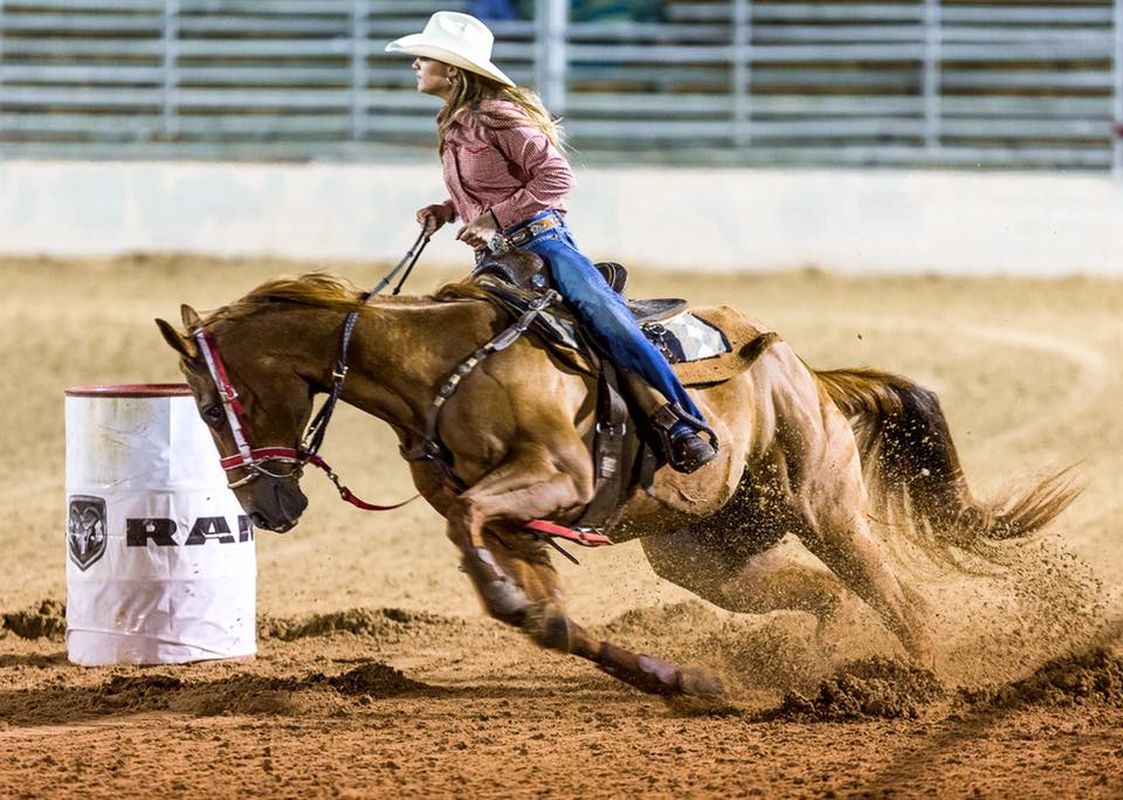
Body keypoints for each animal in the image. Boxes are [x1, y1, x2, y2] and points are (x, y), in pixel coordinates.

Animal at [158, 275, 1078, 701]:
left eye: (213, 403)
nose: (267, 507)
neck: (435, 370)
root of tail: (803, 368)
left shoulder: (549, 480)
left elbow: (479, 531)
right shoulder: (515, 525)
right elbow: (543, 615)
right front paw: (676, 681)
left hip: (825, 506)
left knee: (898, 598)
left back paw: (922, 685)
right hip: (708, 557)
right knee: (822, 596)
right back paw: (818, 667)